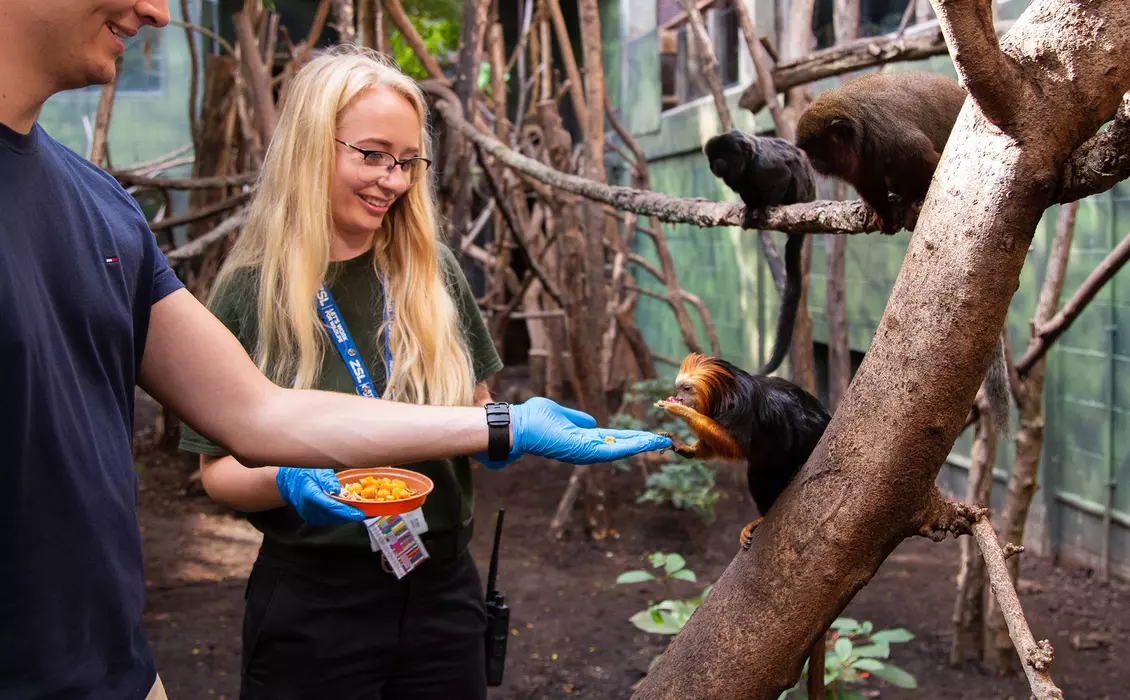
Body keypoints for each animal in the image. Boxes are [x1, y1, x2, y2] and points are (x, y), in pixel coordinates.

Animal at [655, 352, 831, 545]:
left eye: (686, 389)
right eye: (679, 389)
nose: (679, 398)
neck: (723, 393)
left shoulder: (742, 408)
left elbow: (735, 445)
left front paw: (678, 409)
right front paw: (685, 448)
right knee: (759, 469)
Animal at [700, 128, 818, 375]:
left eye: (723, 156)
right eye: (713, 158)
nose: (715, 164)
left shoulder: (764, 167)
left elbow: (783, 175)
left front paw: (763, 207)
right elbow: (747, 194)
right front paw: (750, 209)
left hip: (800, 192)